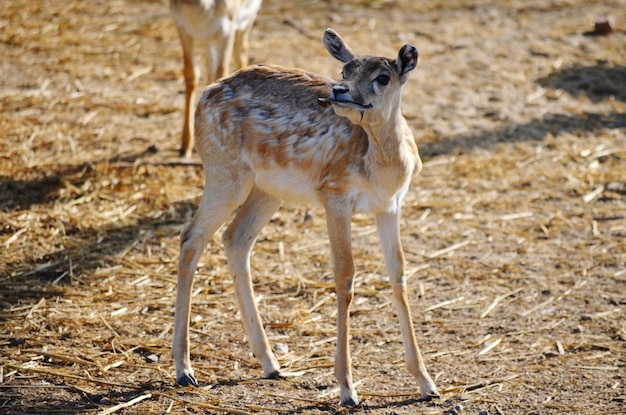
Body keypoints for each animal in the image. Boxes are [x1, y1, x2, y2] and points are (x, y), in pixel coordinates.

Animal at [168, 0, 260, 158]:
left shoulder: (227, 29)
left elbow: (221, 73)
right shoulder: (183, 27)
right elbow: (191, 74)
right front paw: (185, 146)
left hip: (246, 21)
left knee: (242, 53)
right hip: (207, 40)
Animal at [171, 27, 438, 404]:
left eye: (383, 77)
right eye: (345, 70)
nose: (339, 91)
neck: (385, 169)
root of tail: (206, 95)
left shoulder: (391, 205)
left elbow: (398, 273)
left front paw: (428, 384)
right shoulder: (334, 194)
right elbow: (345, 275)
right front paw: (347, 389)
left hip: (267, 190)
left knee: (235, 239)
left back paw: (271, 364)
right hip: (226, 174)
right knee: (191, 238)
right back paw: (184, 369)